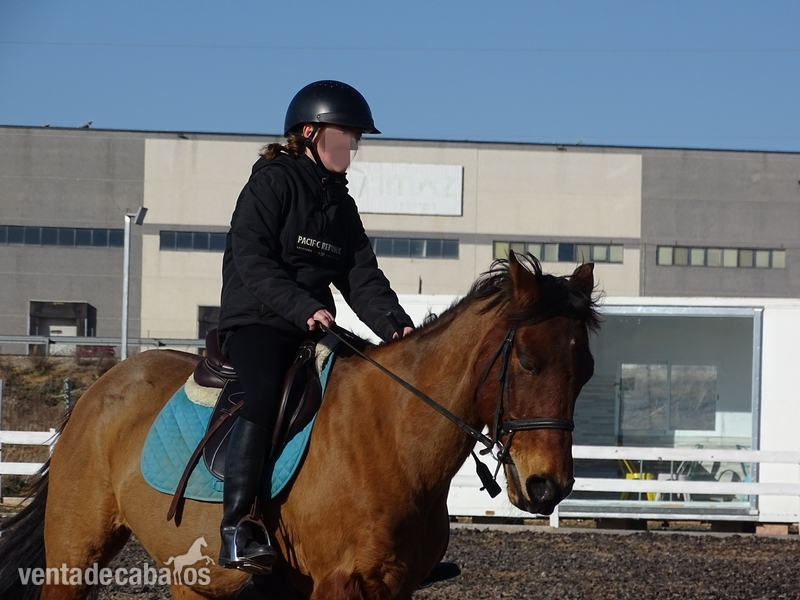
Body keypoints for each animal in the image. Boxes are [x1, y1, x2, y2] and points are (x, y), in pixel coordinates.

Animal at [0, 253, 599, 600]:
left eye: (586, 370)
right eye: (528, 362)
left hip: (196, 577)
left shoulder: (395, 588)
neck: (394, 439)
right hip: (75, 557)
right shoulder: (340, 583)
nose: (549, 487)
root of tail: (100, 388)